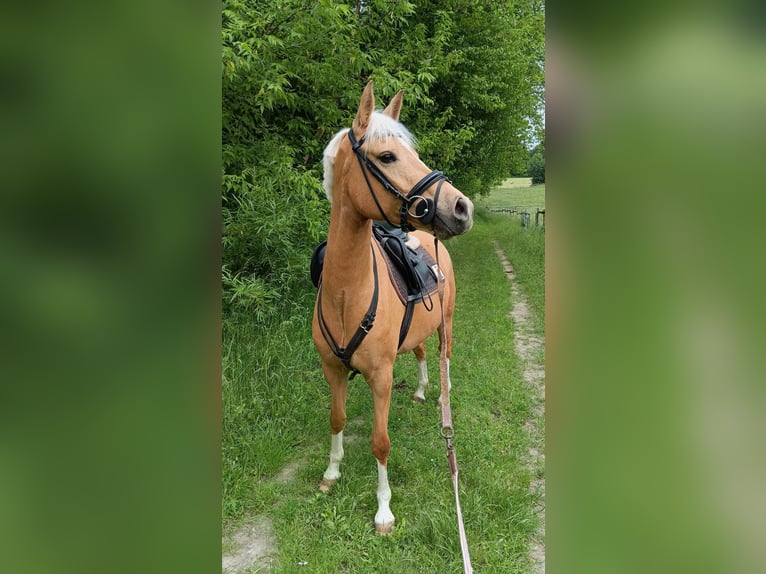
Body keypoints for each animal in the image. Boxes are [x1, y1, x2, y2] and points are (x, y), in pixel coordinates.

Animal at [312, 81, 474, 534]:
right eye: (387, 156)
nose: (462, 208)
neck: (346, 295)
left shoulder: (381, 377)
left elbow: (380, 442)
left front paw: (383, 510)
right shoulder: (332, 370)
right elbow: (337, 419)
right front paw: (331, 473)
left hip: (446, 323)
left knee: (443, 355)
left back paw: (440, 399)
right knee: (419, 352)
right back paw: (419, 391)